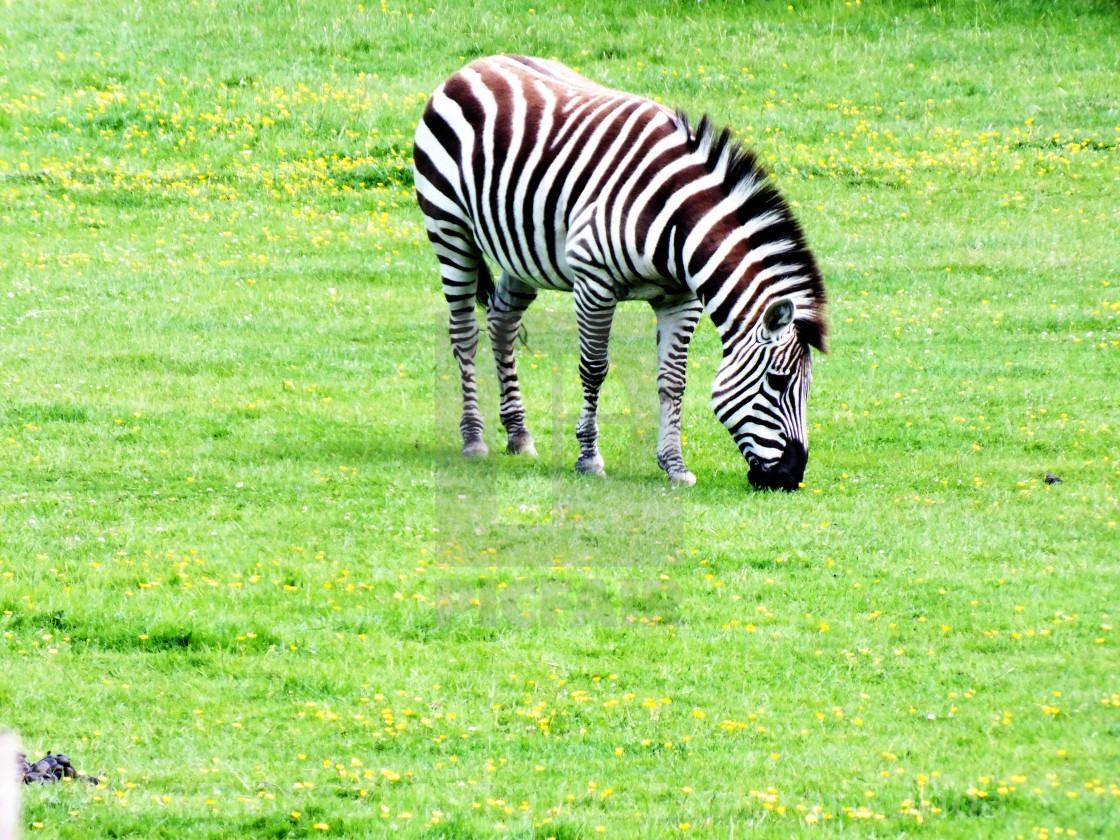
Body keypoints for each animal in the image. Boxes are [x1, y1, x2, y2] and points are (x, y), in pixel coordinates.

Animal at [416, 56, 828, 492]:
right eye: (779, 383)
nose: (791, 477)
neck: (675, 221)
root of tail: (475, 64)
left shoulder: (679, 298)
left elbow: (673, 381)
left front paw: (674, 465)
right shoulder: (594, 283)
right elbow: (594, 369)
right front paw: (588, 458)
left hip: (520, 251)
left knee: (501, 322)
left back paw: (519, 435)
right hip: (449, 230)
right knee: (464, 333)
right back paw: (473, 438)